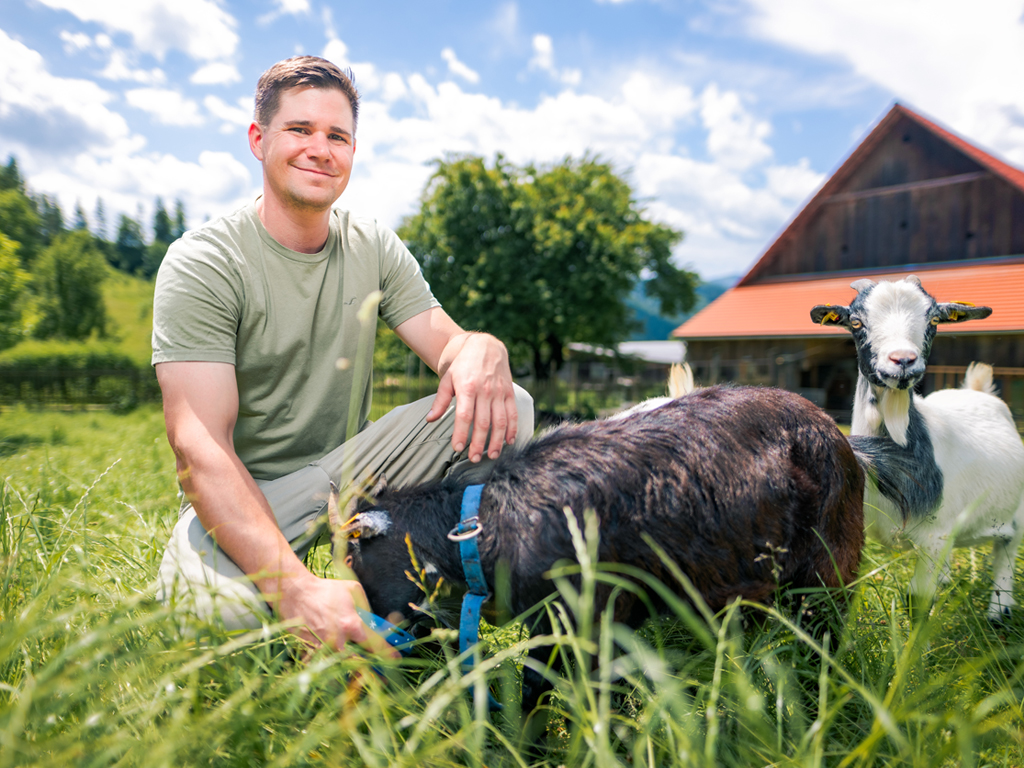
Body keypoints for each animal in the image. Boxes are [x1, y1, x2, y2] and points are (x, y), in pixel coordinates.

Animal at [342, 387, 864, 720]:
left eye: (357, 562)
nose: (366, 650)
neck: (484, 522)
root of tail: (838, 434)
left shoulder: (583, 615)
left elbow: (548, 688)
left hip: (828, 570)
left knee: (825, 639)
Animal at [806, 278, 1024, 626]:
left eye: (934, 319)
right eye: (856, 322)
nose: (903, 360)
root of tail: (978, 390)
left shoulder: (935, 535)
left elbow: (917, 601)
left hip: (1017, 512)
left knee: (1006, 551)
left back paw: (998, 611)